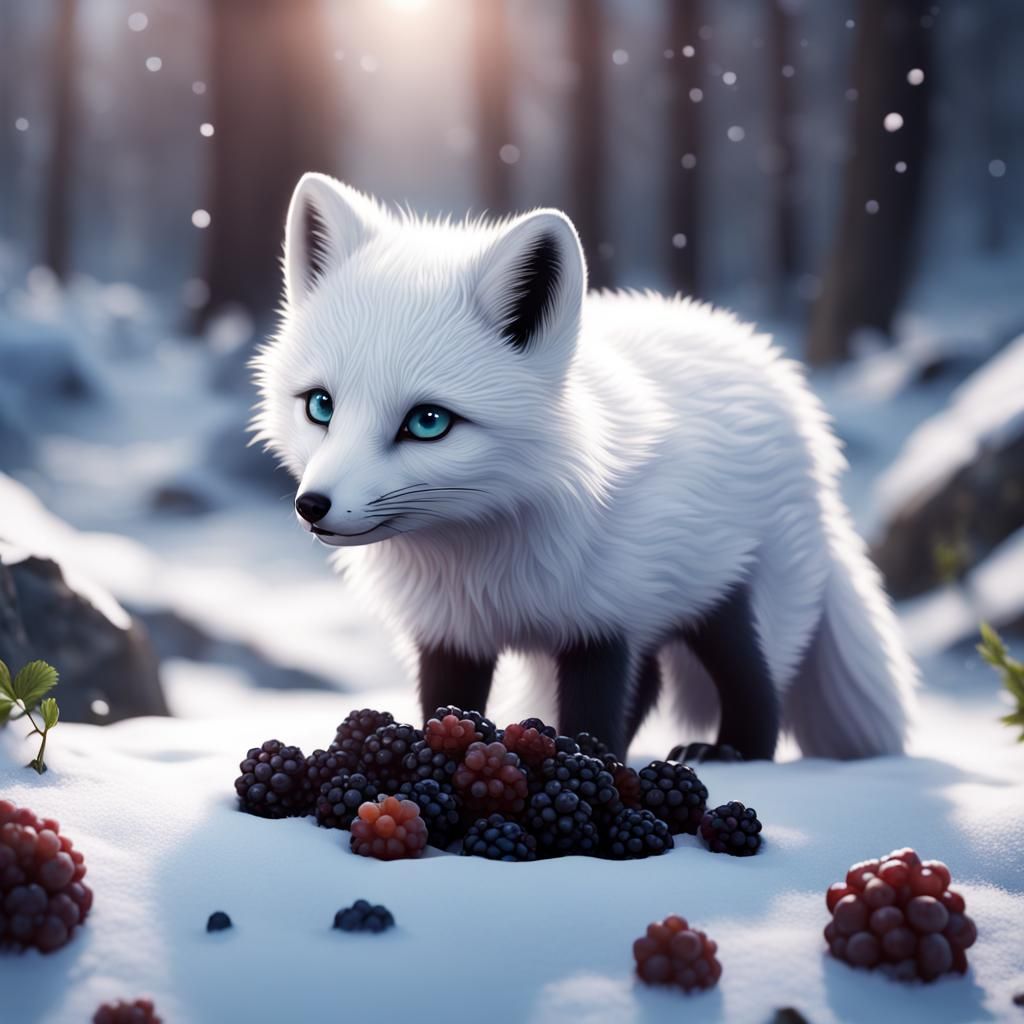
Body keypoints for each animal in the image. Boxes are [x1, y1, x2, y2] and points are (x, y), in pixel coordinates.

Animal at [252, 172, 917, 761]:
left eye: (428, 422)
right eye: (320, 406)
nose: (312, 506)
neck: (486, 566)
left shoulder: (604, 623)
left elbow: (595, 718)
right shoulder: (452, 634)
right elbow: (447, 708)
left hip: (723, 595)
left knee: (758, 688)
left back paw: (729, 752)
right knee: (655, 684)